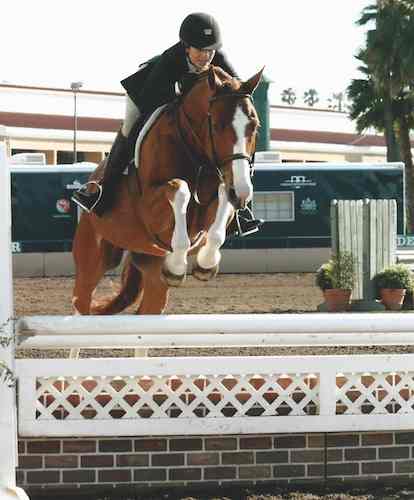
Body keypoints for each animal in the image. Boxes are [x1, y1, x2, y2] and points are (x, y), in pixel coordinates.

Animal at [72, 67, 262, 312]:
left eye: (254, 127)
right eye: (217, 126)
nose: (242, 192)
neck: (194, 150)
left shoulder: (222, 189)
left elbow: (220, 203)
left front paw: (205, 264)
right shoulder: (151, 209)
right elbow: (180, 188)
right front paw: (178, 265)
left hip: (151, 267)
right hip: (93, 258)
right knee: (81, 298)